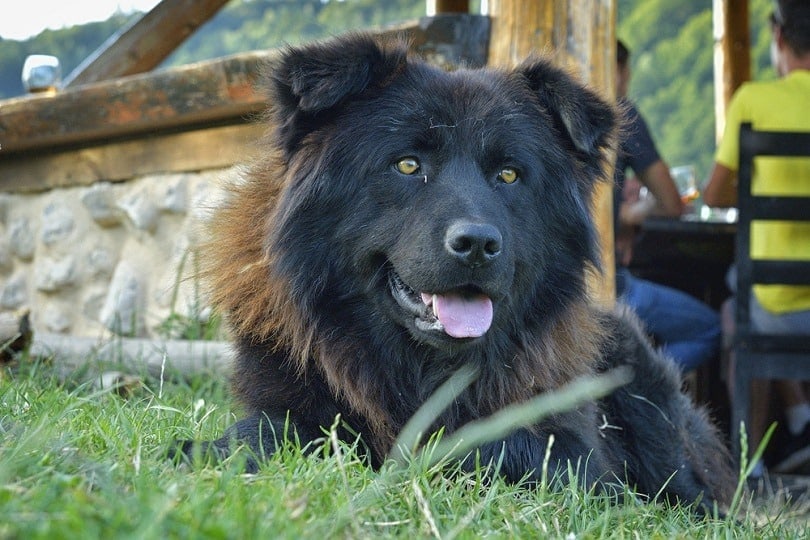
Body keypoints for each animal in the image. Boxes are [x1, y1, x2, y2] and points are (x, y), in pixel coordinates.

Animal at [177, 32, 732, 510]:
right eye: (407, 165)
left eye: (508, 174)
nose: (477, 245)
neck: (421, 369)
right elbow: (274, 432)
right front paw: (205, 452)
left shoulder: (576, 454)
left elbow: (492, 447)